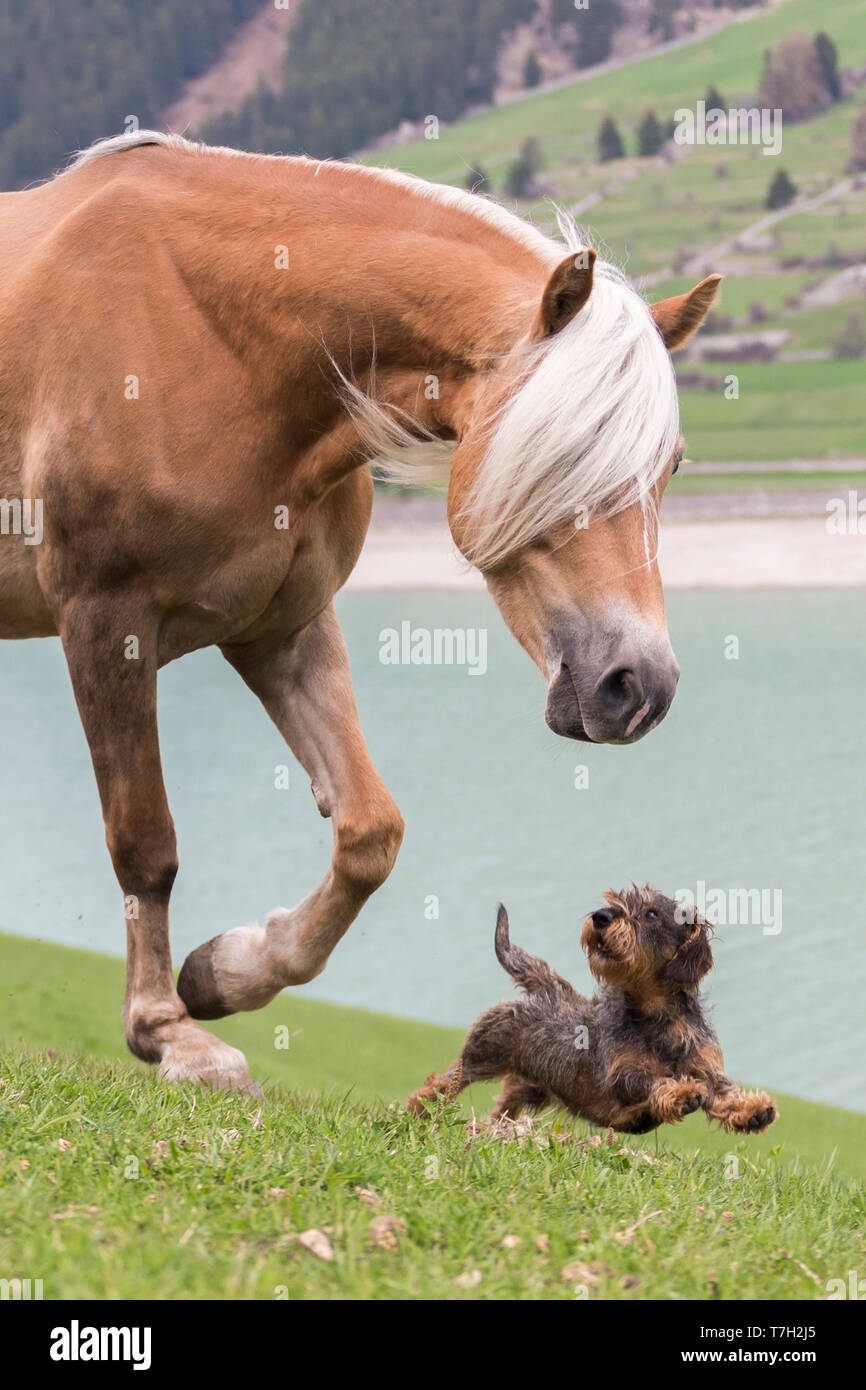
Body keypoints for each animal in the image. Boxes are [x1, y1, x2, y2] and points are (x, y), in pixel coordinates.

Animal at [0, 130, 722, 1089]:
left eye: (669, 465)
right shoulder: (104, 624)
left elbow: (370, 832)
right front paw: (168, 1032)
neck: (213, 335)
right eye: (564, 451)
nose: (639, 685)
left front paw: (225, 972)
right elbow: (144, 840)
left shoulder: (284, 627)